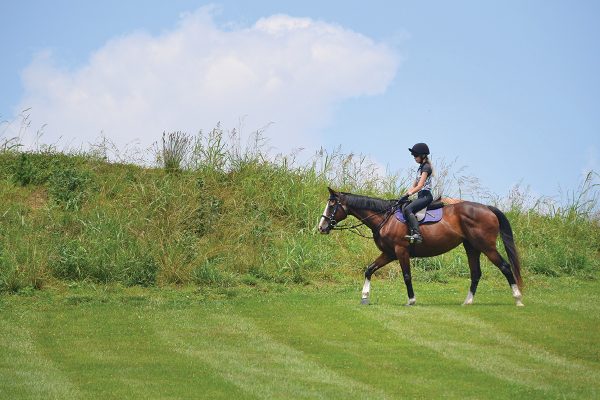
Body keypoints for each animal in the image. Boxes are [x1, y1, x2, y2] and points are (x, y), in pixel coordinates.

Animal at [316, 188, 524, 306]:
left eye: (332, 204)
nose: (322, 227)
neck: (385, 218)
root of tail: (487, 208)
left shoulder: (401, 251)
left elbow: (407, 276)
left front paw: (411, 300)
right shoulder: (389, 253)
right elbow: (369, 269)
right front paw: (365, 297)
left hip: (486, 246)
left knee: (505, 267)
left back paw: (518, 299)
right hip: (471, 247)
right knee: (476, 273)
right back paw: (468, 302)